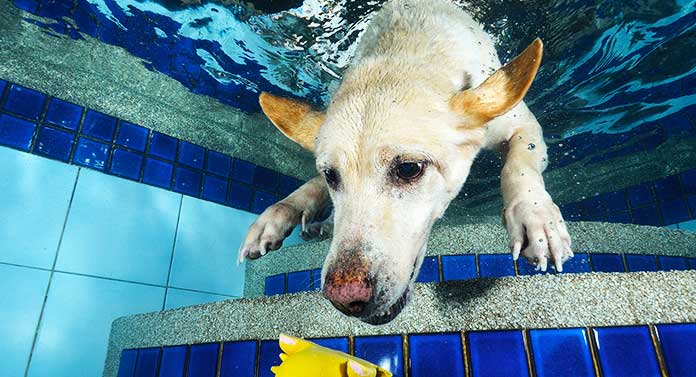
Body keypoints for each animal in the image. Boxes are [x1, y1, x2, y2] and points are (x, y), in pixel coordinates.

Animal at [237, 0, 572, 324]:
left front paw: (535, 215)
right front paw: (281, 213)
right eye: (332, 175)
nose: (346, 298)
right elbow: (311, 186)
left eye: (409, 169)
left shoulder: (521, 126)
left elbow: (517, 166)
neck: (403, 50)